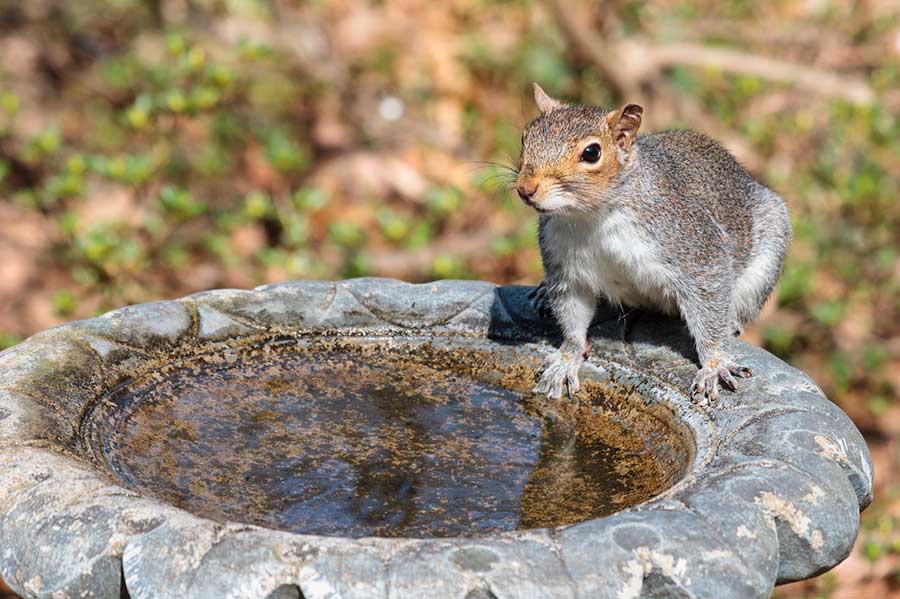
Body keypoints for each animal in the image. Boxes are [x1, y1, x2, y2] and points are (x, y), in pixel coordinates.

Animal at [516, 83, 792, 404]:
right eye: (526, 136)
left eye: (592, 152)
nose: (525, 189)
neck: (593, 217)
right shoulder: (568, 269)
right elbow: (573, 315)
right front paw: (567, 358)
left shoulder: (692, 246)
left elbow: (708, 296)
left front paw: (714, 364)